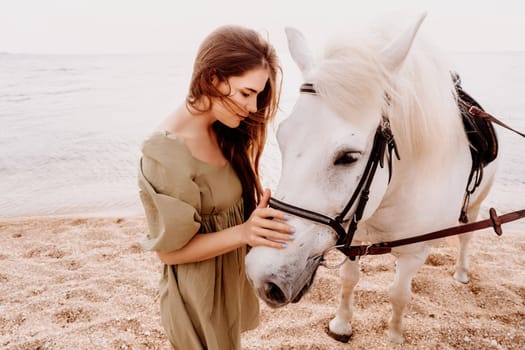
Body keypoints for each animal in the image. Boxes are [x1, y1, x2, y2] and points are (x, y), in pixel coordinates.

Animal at [244, 13, 498, 344]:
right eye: (281, 138)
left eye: (349, 156)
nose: (262, 276)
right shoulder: (352, 236)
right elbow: (348, 280)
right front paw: (341, 324)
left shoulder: (414, 251)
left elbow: (399, 293)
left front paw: (394, 335)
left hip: (476, 204)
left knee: (466, 237)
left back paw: (462, 272)